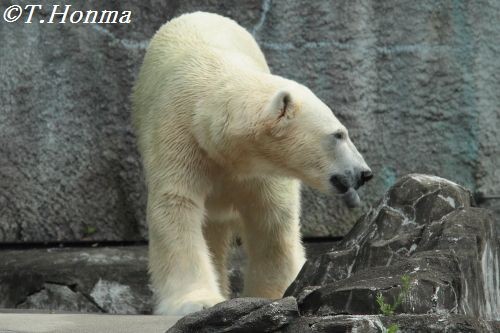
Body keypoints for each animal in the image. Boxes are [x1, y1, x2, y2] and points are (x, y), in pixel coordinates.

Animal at [131, 12, 374, 314]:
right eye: (338, 134)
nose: (364, 173)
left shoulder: (262, 168)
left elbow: (272, 217)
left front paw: (273, 295)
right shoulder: (179, 136)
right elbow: (177, 204)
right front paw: (197, 301)